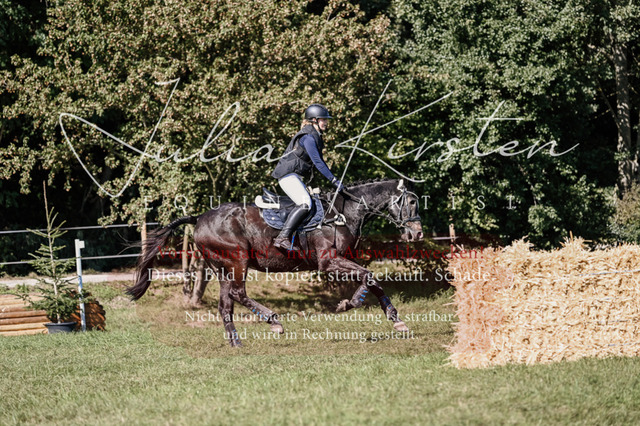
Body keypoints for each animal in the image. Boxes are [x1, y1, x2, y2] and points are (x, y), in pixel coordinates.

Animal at [127, 178, 424, 346]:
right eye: (411, 202)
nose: (417, 233)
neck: (344, 212)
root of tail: (199, 218)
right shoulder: (328, 263)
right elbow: (369, 275)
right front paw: (366, 309)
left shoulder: (345, 259)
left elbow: (369, 279)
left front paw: (378, 313)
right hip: (237, 261)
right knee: (238, 293)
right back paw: (274, 321)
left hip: (222, 267)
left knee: (226, 305)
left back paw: (236, 342)